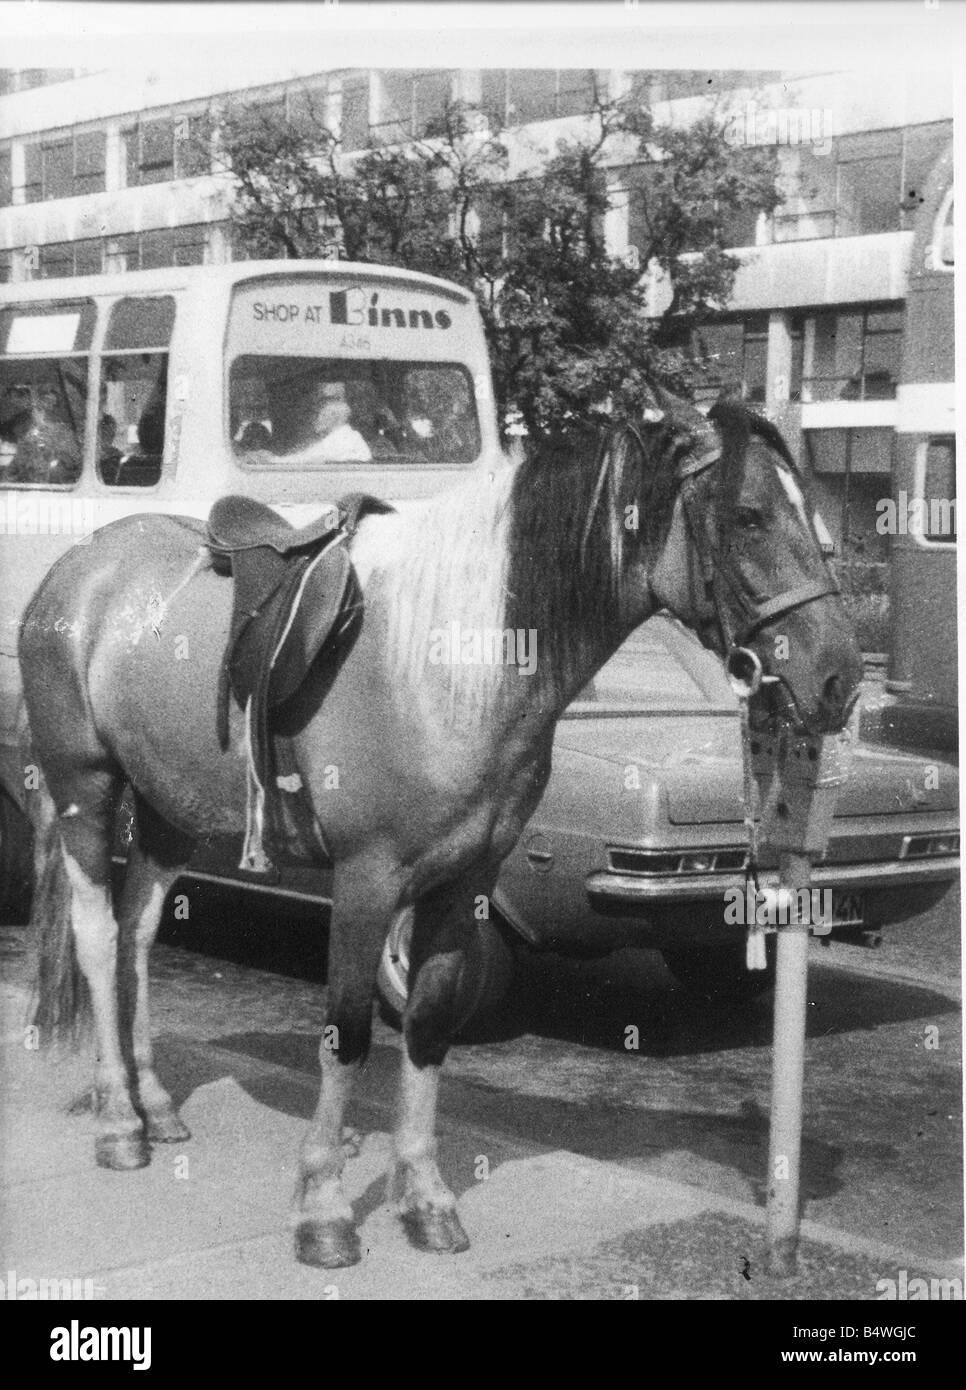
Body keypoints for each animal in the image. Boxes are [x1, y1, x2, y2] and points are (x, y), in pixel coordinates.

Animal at [17, 394, 861, 1273]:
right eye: (748, 516)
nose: (840, 677)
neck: (452, 665)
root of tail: (81, 566)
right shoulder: (366, 881)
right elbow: (348, 1034)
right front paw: (323, 1209)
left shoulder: (467, 881)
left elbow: (427, 1027)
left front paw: (423, 1199)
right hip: (85, 790)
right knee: (97, 937)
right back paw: (119, 1122)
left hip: (169, 811)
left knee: (138, 935)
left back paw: (152, 1104)